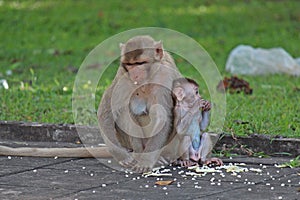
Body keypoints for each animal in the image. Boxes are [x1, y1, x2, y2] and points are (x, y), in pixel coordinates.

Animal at [99, 35, 180, 173]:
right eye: (129, 64)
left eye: (140, 63)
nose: (134, 74)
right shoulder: (122, 75)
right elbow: (106, 112)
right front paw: (122, 156)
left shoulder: (165, 75)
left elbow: (163, 117)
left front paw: (146, 161)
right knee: (124, 110)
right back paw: (138, 153)